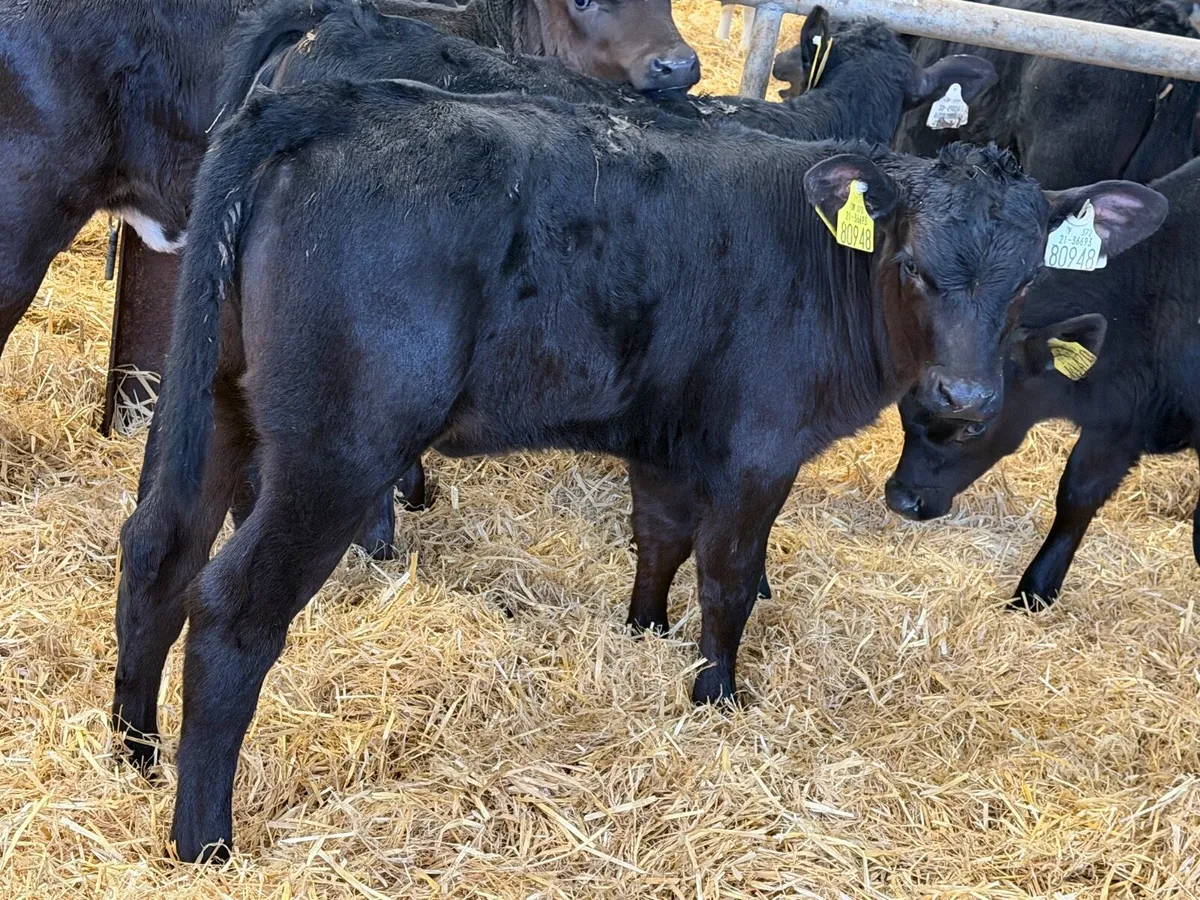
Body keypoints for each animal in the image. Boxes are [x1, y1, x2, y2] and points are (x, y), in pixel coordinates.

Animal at [110, 76, 1166, 860]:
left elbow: (659, 540)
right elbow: (731, 576)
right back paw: (204, 839)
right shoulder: (759, 449)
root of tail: (329, 101)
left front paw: (645, 633)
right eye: (912, 265)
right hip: (338, 448)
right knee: (234, 607)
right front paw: (717, 695)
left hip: (218, 398)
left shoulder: (667, 439)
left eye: (1025, 280)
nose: (963, 398)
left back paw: (135, 750)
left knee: (160, 545)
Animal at [886, 157, 1198, 611]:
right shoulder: (1117, 420)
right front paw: (1034, 591)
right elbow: (1077, 494)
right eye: (904, 405)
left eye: (977, 425)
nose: (902, 500)